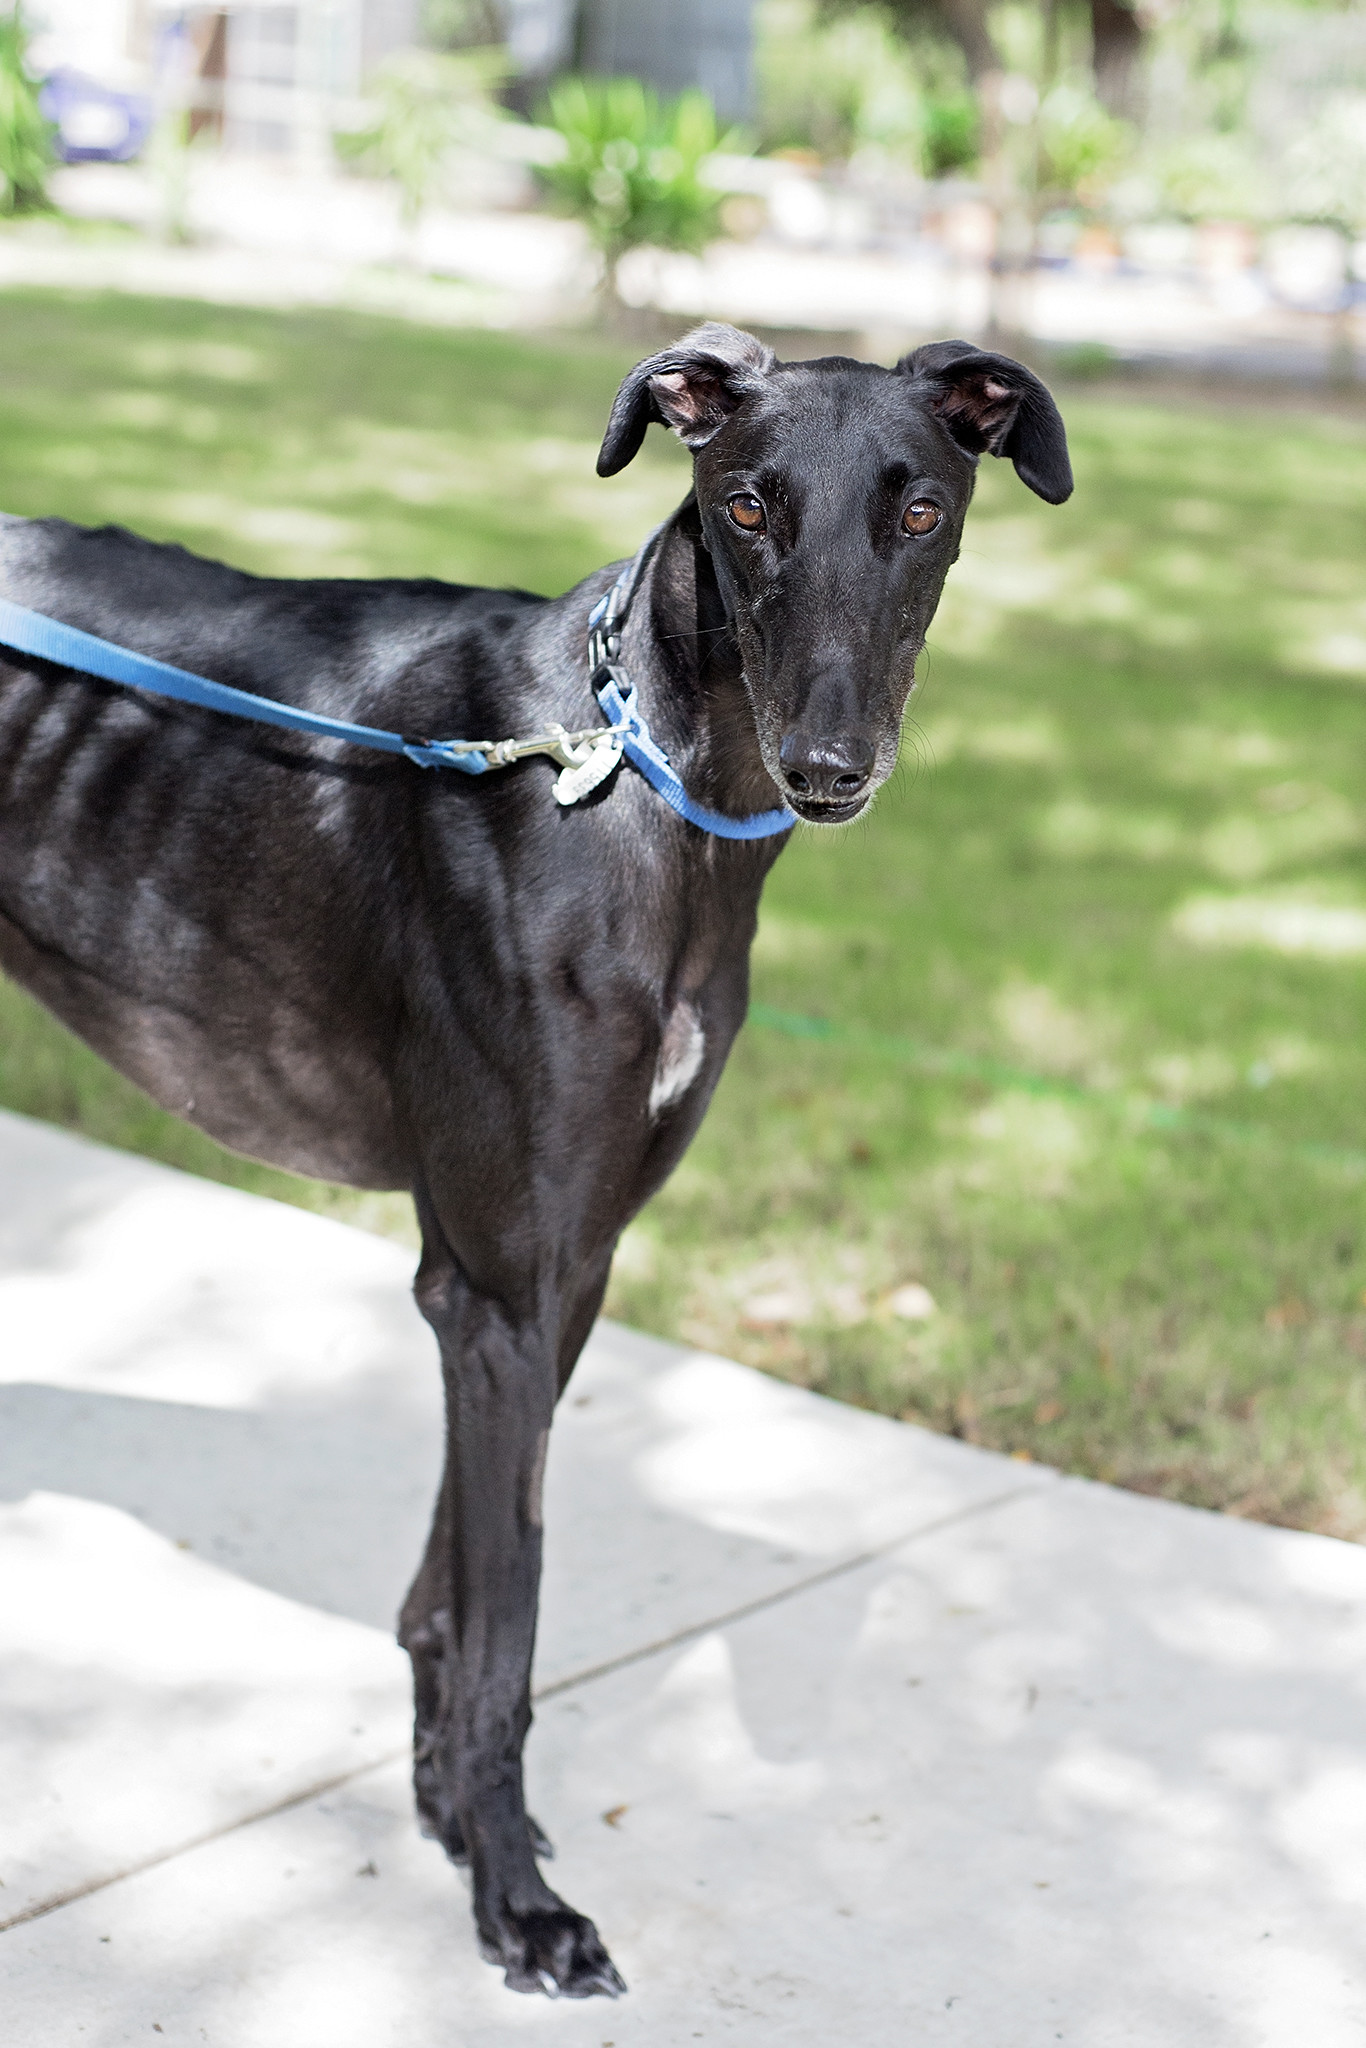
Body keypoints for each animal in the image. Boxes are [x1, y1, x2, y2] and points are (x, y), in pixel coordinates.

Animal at [0, 323, 1071, 1997]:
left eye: (917, 512)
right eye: (744, 507)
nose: (829, 767)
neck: (631, 775)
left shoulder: (561, 1275)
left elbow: (451, 1599)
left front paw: (451, 1819)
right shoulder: (496, 1288)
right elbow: (505, 1630)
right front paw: (517, 1903)